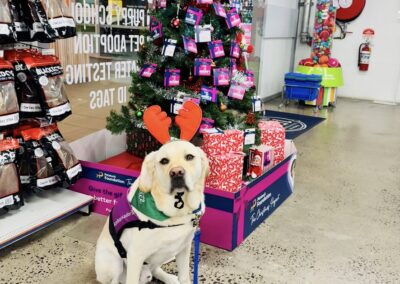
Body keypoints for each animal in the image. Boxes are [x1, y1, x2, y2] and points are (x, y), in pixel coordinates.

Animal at [95, 140, 208, 284]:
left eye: (189, 157)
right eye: (164, 161)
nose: (177, 172)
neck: (174, 215)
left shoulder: (185, 247)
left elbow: (184, 277)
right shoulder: (135, 255)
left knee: (155, 270)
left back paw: (170, 278)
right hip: (114, 264)